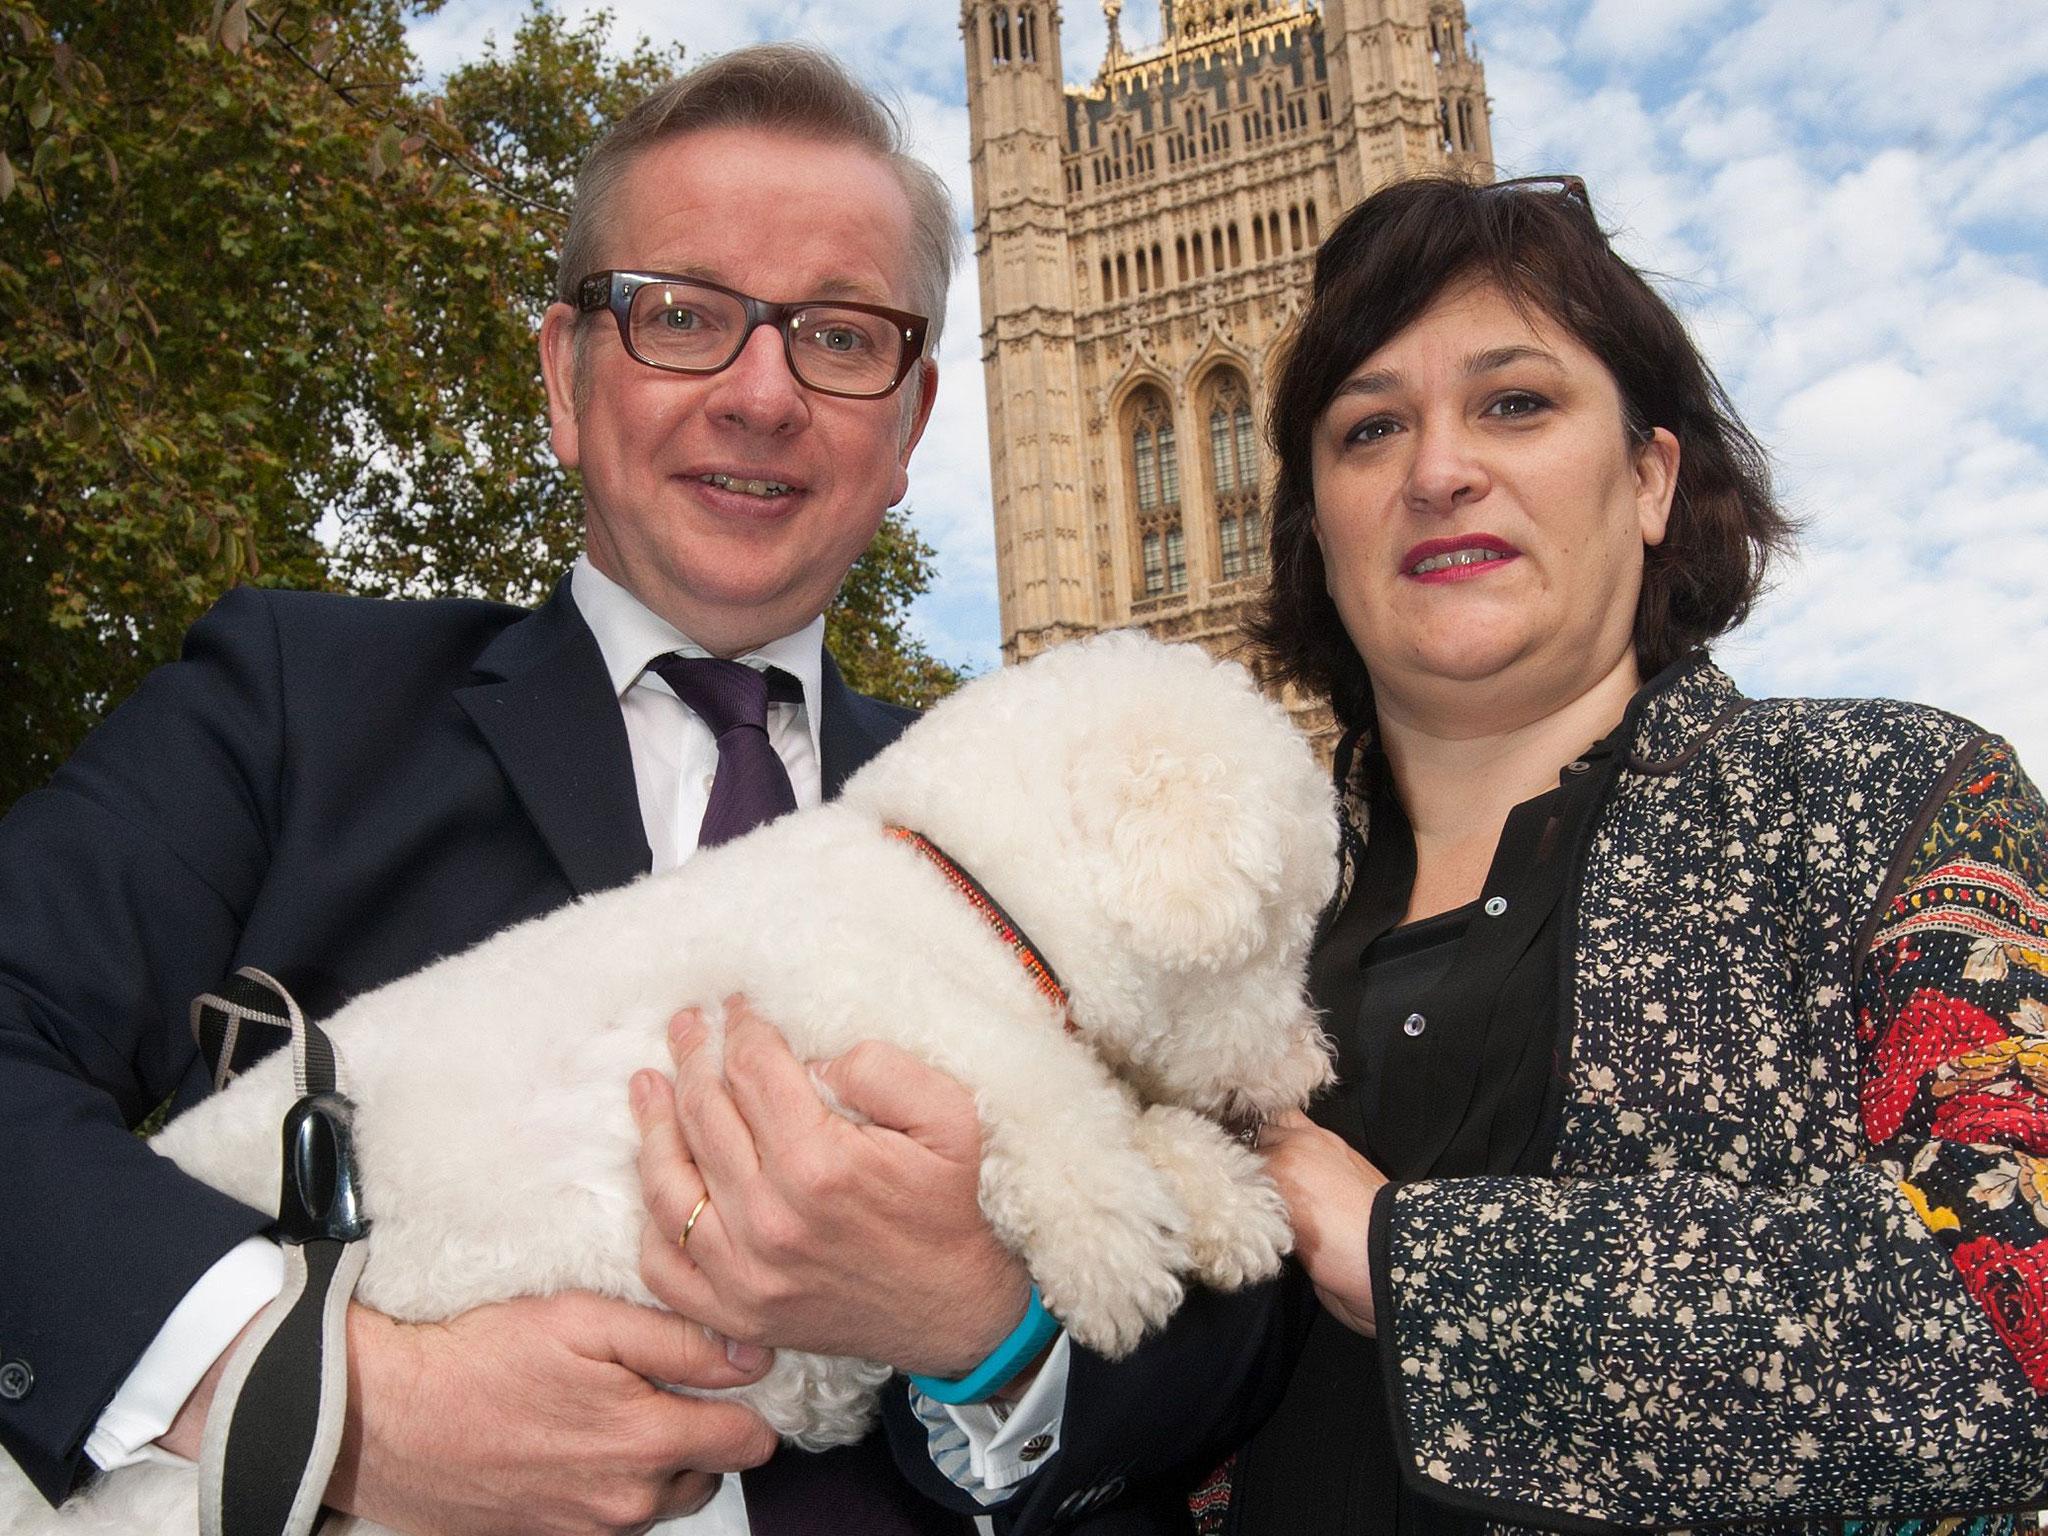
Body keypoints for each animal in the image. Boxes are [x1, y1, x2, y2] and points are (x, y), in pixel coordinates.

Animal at [0, 634, 1335, 1536]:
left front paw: (1218, 1198)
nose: (1308, 1078)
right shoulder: (840, 999)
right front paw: (1113, 1235)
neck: (953, 882)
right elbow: (1038, 1088)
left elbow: (1115, 1100)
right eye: (1281, 925)